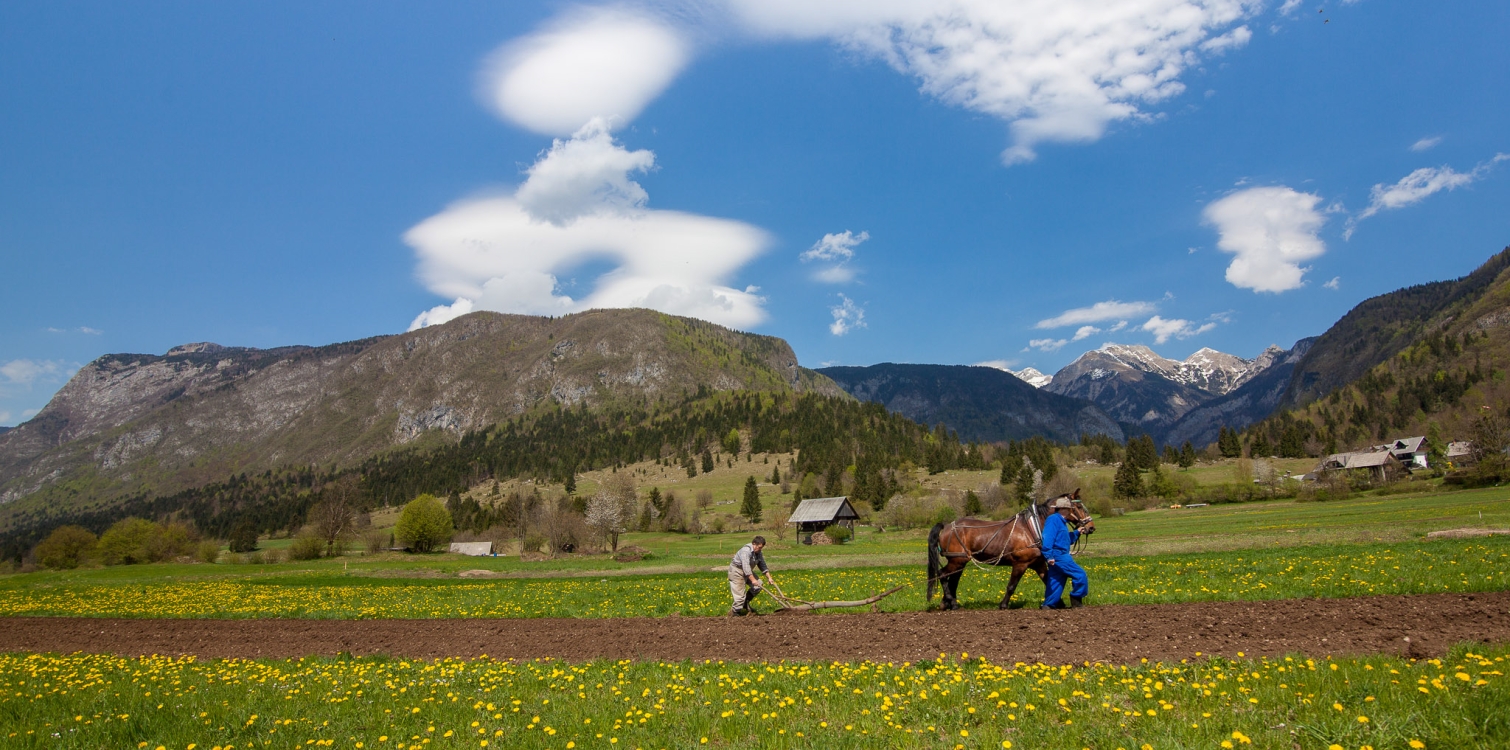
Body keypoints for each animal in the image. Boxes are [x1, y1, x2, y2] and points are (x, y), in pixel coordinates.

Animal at [924, 491, 1093, 609]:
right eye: (1079, 507)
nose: (1091, 527)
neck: (1031, 528)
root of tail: (946, 526)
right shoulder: (1020, 563)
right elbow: (1011, 586)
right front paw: (1003, 605)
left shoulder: (1038, 563)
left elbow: (1048, 581)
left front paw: (1060, 603)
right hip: (957, 560)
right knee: (942, 575)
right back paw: (951, 602)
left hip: (959, 561)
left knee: (952, 580)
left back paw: (947, 603)